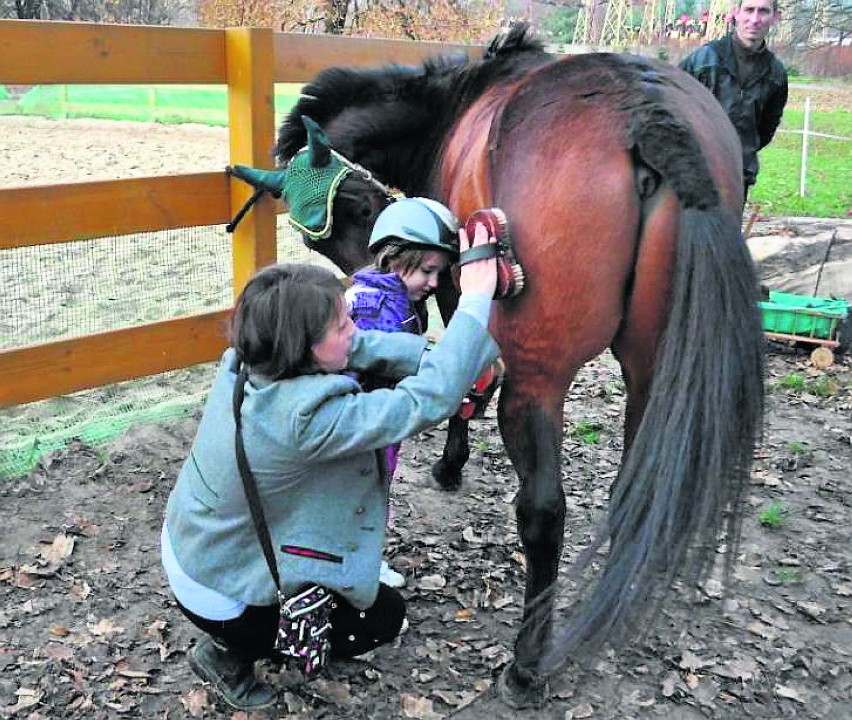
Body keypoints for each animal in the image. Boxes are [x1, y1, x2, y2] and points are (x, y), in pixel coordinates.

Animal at [274, 23, 764, 708]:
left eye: (349, 212)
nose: (375, 281)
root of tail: (647, 110)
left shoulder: (459, 293)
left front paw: (452, 462)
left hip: (539, 382)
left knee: (543, 513)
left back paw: (528, 662)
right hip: (651, 366)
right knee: (635, 480)